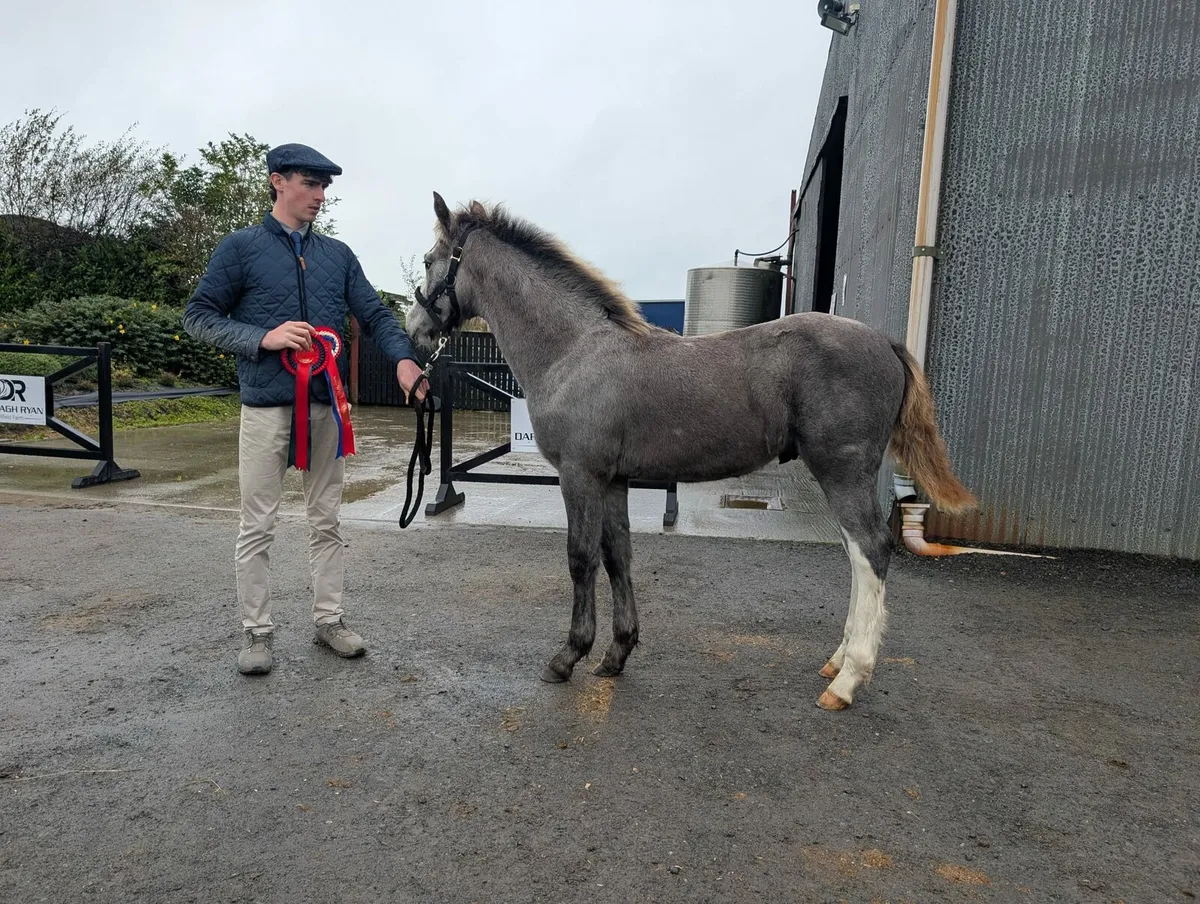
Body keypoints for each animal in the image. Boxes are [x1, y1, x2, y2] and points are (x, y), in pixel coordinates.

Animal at [406, 192, 977, 710]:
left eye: (429, 260)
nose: (416, 332)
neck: (574, 351)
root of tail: (886, 343)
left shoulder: (579, 474)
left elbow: (580, 558)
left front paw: (568, 656)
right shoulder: (613, 479)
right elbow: (618, 555)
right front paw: (616, 654)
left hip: (842, 470)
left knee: (870, 550)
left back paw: (848, 679)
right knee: (858, 553)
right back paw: (837, 662)